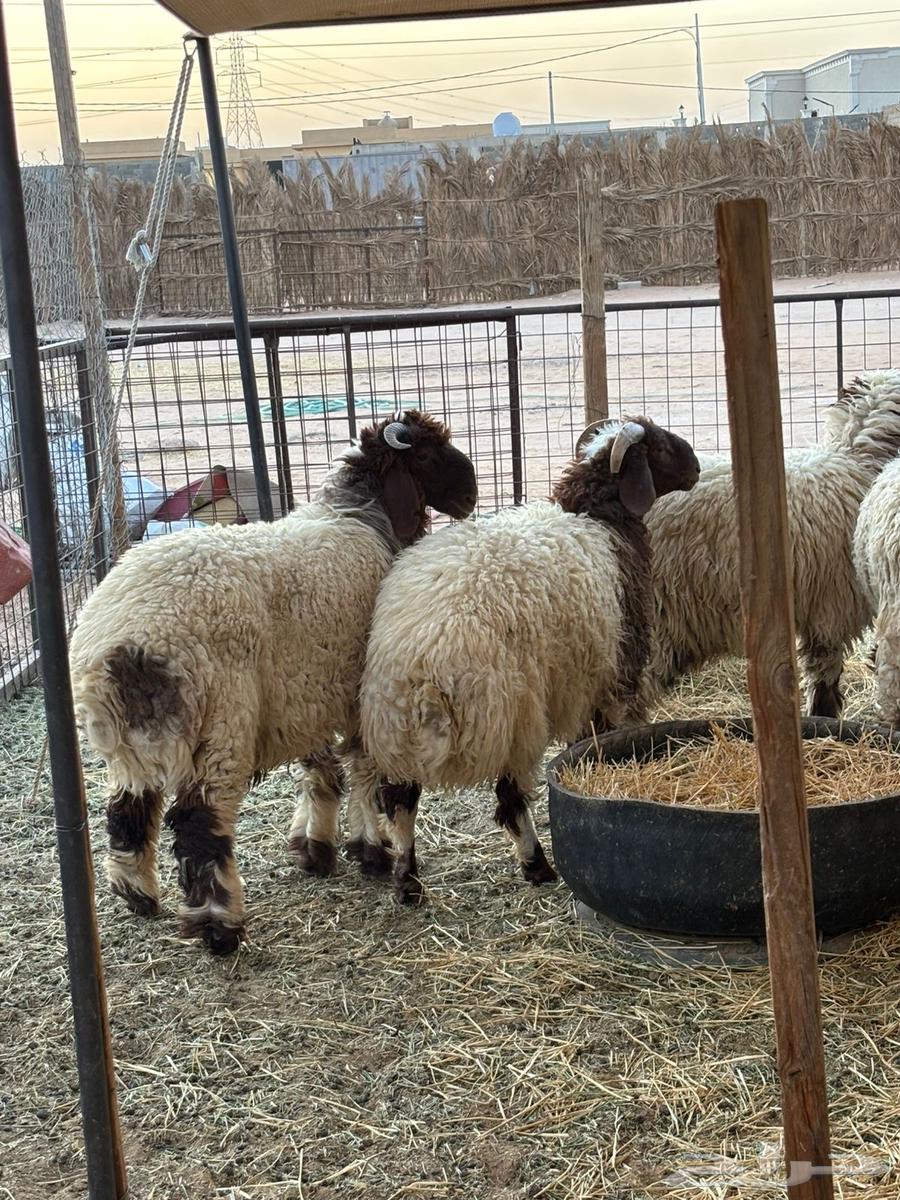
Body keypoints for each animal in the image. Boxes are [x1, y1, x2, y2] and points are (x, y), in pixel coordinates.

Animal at [68, 411, 478, 953]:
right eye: (430, 454)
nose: (471, 494)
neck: (361, 518)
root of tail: (118, 643)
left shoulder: (304, 690)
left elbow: (321, 770)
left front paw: (314, 846)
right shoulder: (356, 689)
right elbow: (362, 769)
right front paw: (371, 850)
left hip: (132, 740)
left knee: (126, 809)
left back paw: (137, 894)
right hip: (223, 722)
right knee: (200, 823)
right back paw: (219, 925)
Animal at [357, 416, 701, 903]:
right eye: (660, 448)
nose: (695, 468)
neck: (600, 520)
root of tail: (424, 673)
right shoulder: (611, 676)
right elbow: (601, 739)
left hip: (394, 734)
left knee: (400, 803)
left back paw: (408, 881)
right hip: (517, 719)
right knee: (510, 799)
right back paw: (537, 865)